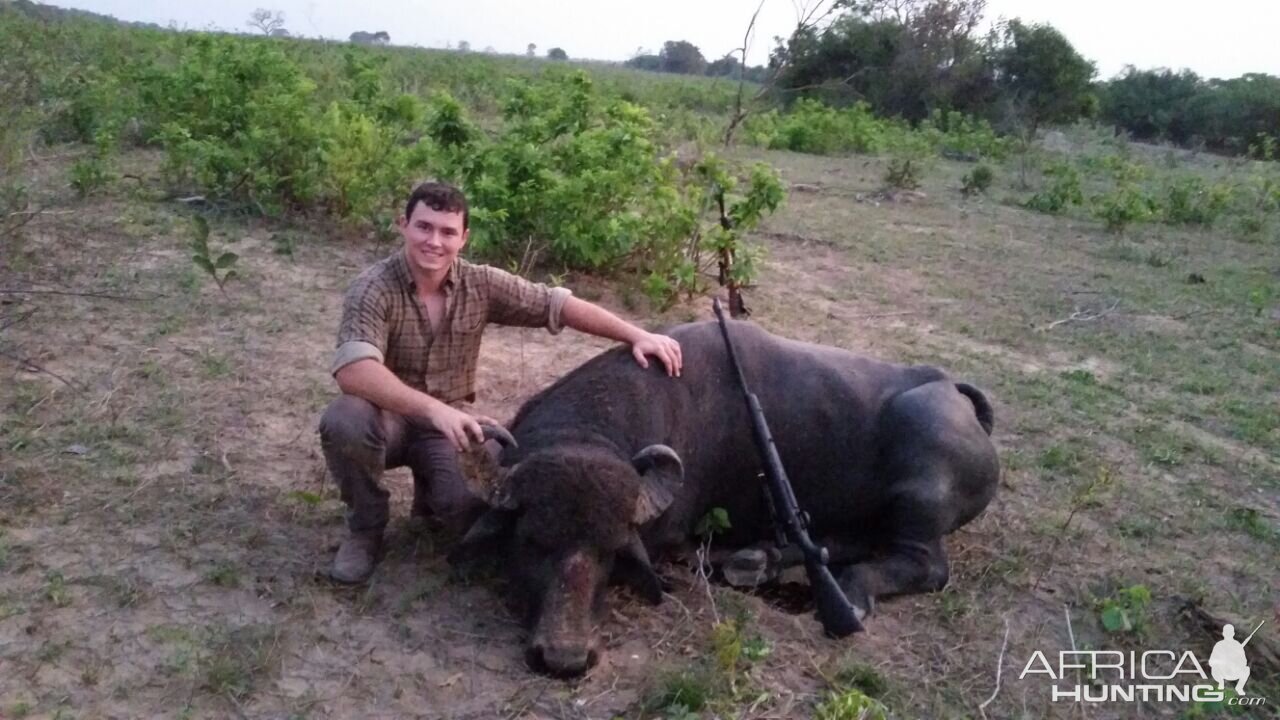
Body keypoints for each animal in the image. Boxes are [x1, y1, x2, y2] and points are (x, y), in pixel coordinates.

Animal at [450, 317, 998, 671]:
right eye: (531, 541)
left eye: (611, 553)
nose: (564, 657)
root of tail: (952, 392)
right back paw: (762, 560)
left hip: (919, 494)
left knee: (925, 564)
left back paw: (846, 592)